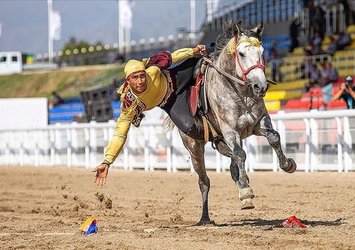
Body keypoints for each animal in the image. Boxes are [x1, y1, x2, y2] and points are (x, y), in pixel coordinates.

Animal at [178, 21, 298, 225]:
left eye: (262, 51)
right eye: (241, 53)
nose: (260, 86)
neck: (240, 93)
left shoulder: (259, 123)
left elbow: (274, 138)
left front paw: (287, 164)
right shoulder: (229, 131)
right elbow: (241, 155)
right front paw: (246, 192)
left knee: (233, 166)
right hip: (194, 146)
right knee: (204, 180)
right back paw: (205, 217)